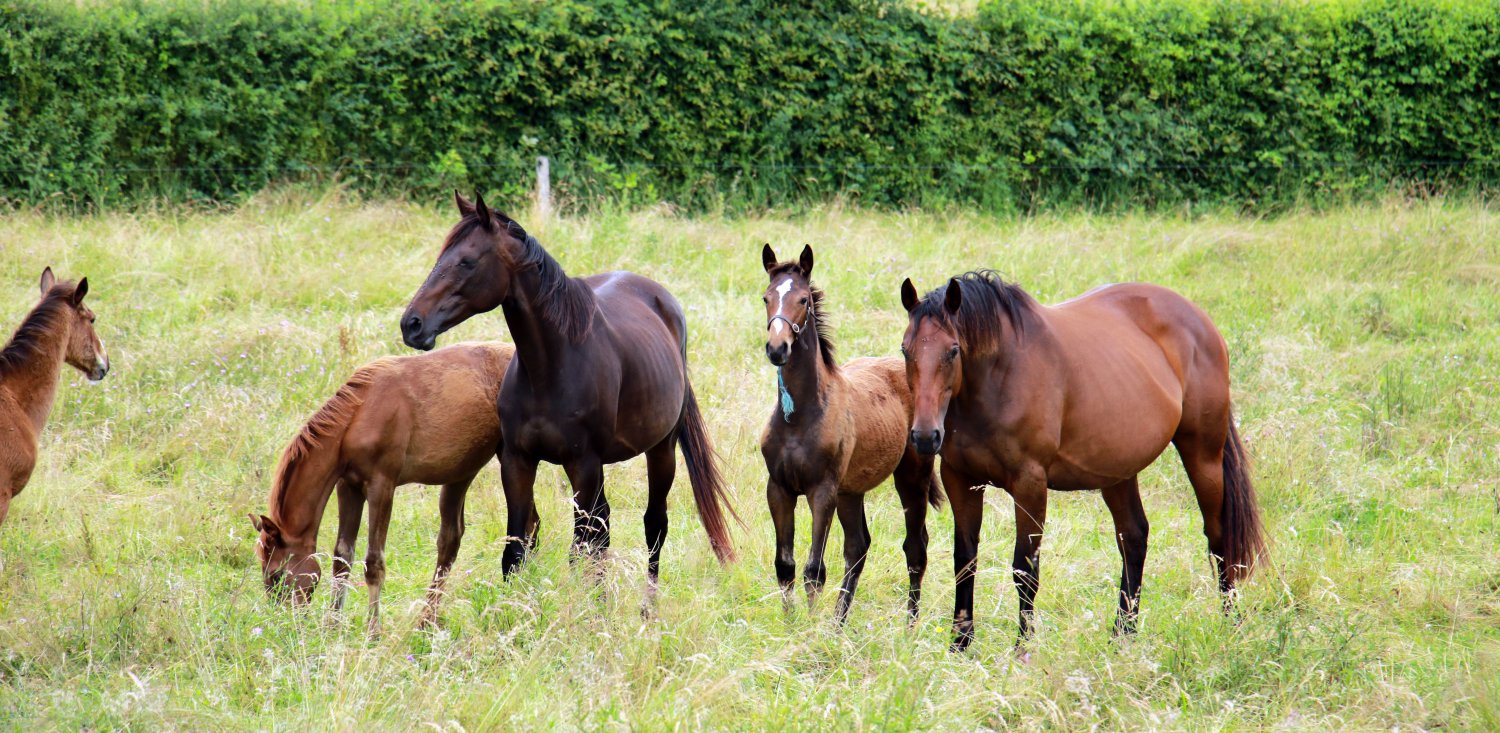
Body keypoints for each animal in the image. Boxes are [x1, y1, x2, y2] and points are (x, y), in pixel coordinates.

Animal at [250, 341, 514, 634]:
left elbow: (373, 563)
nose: (283, 624)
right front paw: (332, 625)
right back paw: (427, 620)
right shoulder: (348, 487)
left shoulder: (382, 487)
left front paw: (373, 631)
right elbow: (341, 558)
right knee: (450, 540)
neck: (358, 416)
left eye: (276, 575)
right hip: (460, 474)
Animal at [399, 192, 738, 596]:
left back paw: (647, 606)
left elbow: (579, 550)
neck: (550, 366)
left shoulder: (584, 465)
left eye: (466, 261)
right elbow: (516, 552)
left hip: (660, 450)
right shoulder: (517, 462)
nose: (412, 324)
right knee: (604, 527)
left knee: (652, 526)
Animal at [758, 244, 942, 623]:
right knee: (858, 546)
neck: (799, 416)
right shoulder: (779, 489)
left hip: (911, 477)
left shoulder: (822, 491)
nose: (777, 349)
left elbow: (814, 570)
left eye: (803, 300)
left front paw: (810, 629)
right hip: (851, 491)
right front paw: (791, 625)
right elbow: (785, 565)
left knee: (916, 547)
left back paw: (910, 625)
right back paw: (838, 623)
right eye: (766, 297)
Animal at [898, 271, 1265, 651]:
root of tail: (1201, 321)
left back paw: (1231, 625)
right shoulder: (961, 479)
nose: (924, 436)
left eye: (953, 350)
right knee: (1134, 538)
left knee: (1218, 538)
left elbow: (1025, 569)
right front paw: (959, 644)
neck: (998, 376)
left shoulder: (1029, 484)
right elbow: (965, 560)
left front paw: (1022, 649)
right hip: (1118, 471)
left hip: (1202, 454)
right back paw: (1123, 635)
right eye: (905, 350)